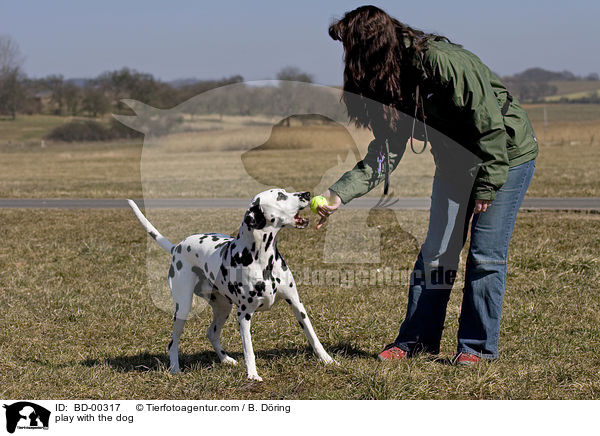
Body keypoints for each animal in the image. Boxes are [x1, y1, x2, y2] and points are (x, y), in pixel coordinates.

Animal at [127, 189, 336, 380]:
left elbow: (312, 335)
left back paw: (226, 359)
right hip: (183, 308)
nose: (307, 194)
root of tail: (177, 247)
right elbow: (248, 349)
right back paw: (175, 368)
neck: (262, 260)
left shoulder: (296, 304)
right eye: (280, 196)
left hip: (223, 308)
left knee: (211, 333)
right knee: (173, 342)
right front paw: (252, 375)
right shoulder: (244, 315)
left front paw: (327, 360)